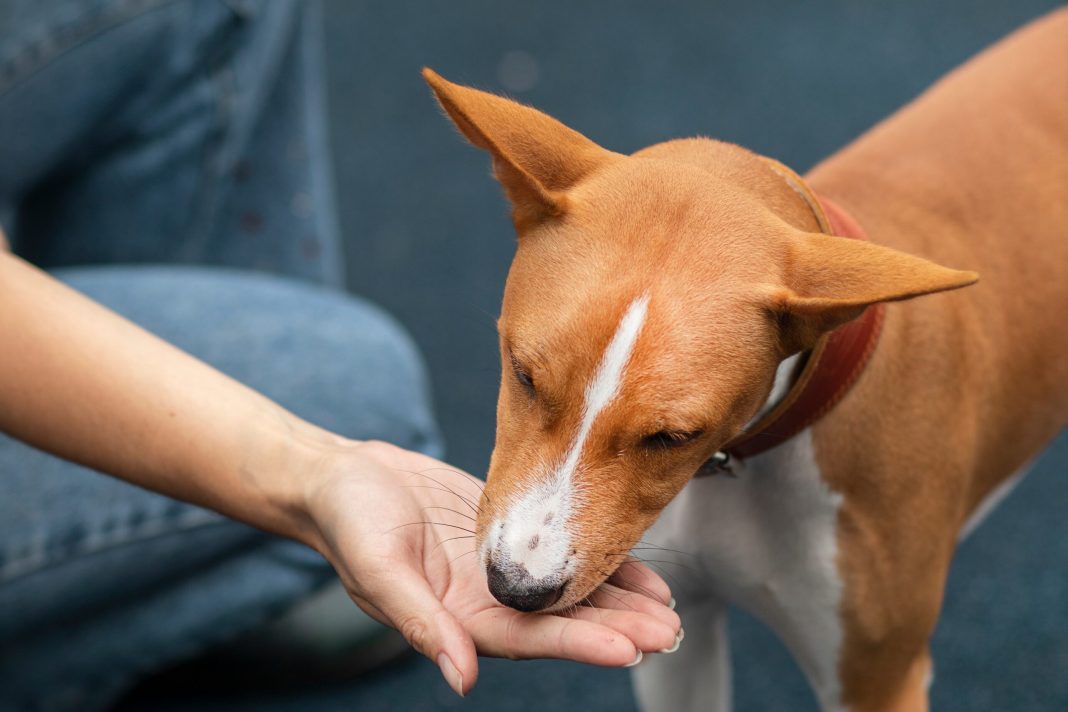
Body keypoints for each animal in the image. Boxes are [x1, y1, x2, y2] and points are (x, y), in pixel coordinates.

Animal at [420, 6, 1063, 712]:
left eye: (673, 437)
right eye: (524, 376)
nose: (517, 587)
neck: (739, 463)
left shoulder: (879, 680)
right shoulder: (679, 633)